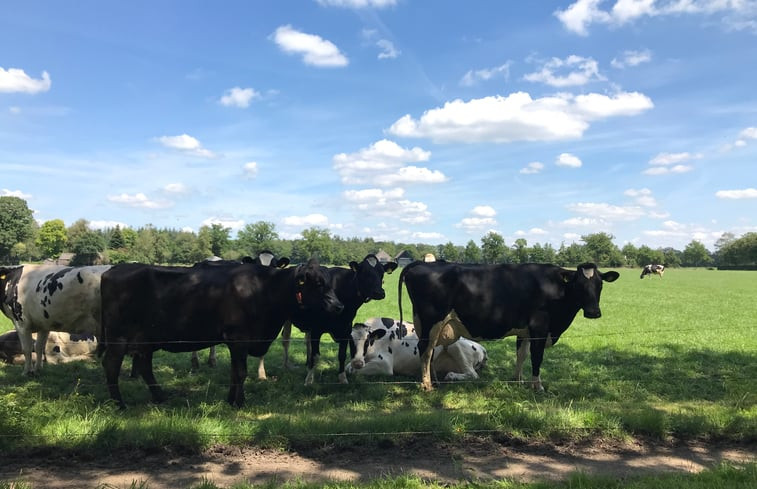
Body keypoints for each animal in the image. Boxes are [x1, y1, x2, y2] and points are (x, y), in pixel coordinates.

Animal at [99, 258, 342, 406]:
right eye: (317, 283)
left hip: (146, 338)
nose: (339, 306)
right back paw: (119, 404)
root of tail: (113, 269)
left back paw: (161, 397)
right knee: (111, 364)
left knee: (145, 366)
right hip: (118, 336)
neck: (264, 289)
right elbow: (241, 372)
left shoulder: (236, 342)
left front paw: (230, 400)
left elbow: (234, 372)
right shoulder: (239, 337)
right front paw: (240, 402)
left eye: (329, 281)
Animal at [290, 255, 398, 386]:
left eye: (381, 272)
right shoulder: (316, 328)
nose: (379, 292)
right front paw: (309, 379)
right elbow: (316, 355)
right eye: (364, 272)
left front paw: (342, 378)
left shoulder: (346, 328)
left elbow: (342, 355)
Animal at [346, 316, 488, 382]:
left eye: (367, 340)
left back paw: (451, 376)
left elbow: (354, 372)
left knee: (473, 374)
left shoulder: (384, 365)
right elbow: (348, 368)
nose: (357, 363)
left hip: (455, 344)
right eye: (350, 341)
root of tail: (482, 348)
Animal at [398, 262, 616, 390]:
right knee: (425, 350)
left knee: (429, 351)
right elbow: (537, 357)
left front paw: (518, 380)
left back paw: (433, 380)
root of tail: (421, 263)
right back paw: (427, 385)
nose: (594, 312)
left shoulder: (525, 331)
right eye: (579, 285)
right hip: (431, 320)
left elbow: (521, 354)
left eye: (600, 285)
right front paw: (537, 386)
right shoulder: (539, 327)